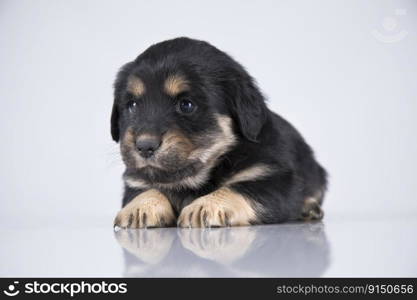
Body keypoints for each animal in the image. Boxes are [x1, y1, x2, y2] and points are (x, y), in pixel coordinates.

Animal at [112, 38, 326, 230]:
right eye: (132, 105)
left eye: (186, 105)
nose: (144, 146)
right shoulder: (135, 180)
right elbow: (146, 190)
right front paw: (140, 208)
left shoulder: (274, 177)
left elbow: (240, 188)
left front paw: (206, 206)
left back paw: (309, 208)